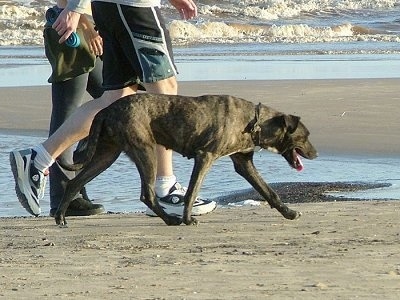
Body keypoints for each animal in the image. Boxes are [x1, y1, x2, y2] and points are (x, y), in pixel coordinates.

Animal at [57, 94, 318, 225]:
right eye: (305, 136)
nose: (316, 154)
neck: (254, 122)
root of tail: (107, 109)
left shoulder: (244, 164)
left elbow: (268, 191)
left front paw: (288, 212)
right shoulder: (205, 157)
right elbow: (192, 192)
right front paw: (187, 218)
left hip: (106, 155)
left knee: (75, 182)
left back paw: (61, 216)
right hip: (145, 151)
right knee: (147, 194)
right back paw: (170, 220)